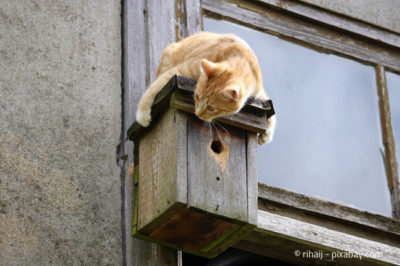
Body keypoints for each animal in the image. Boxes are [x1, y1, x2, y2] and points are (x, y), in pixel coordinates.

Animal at [136, 33, 276, 145]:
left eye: (211, 108)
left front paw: (267, 134)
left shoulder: (259, 92)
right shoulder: (179, 71)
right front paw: (142, 113)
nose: (197, 114)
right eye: (197, 97)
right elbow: (155, 86)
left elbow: (270, 109)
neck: (243, 59)